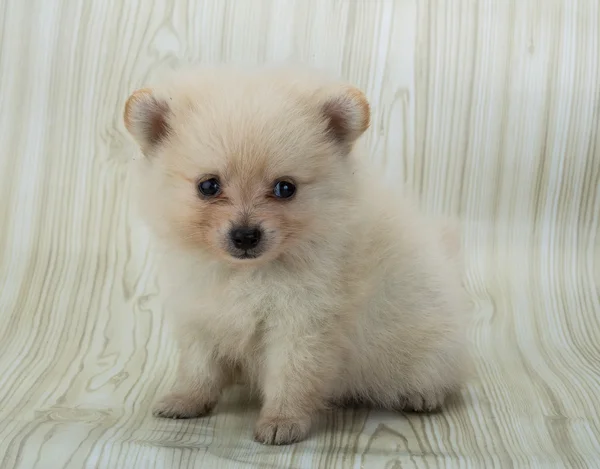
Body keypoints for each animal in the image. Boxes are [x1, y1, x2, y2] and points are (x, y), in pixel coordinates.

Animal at [124, 65, 472, 442]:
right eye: (208, 186)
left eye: (285, 188)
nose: (245, 235)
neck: (248, 274)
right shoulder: (202, 316)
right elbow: (198, 367)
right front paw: (186, 400)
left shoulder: (303, 324)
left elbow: (292, 377)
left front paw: (282, 421)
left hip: (429, 344)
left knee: (439, 374)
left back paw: (422, 394)